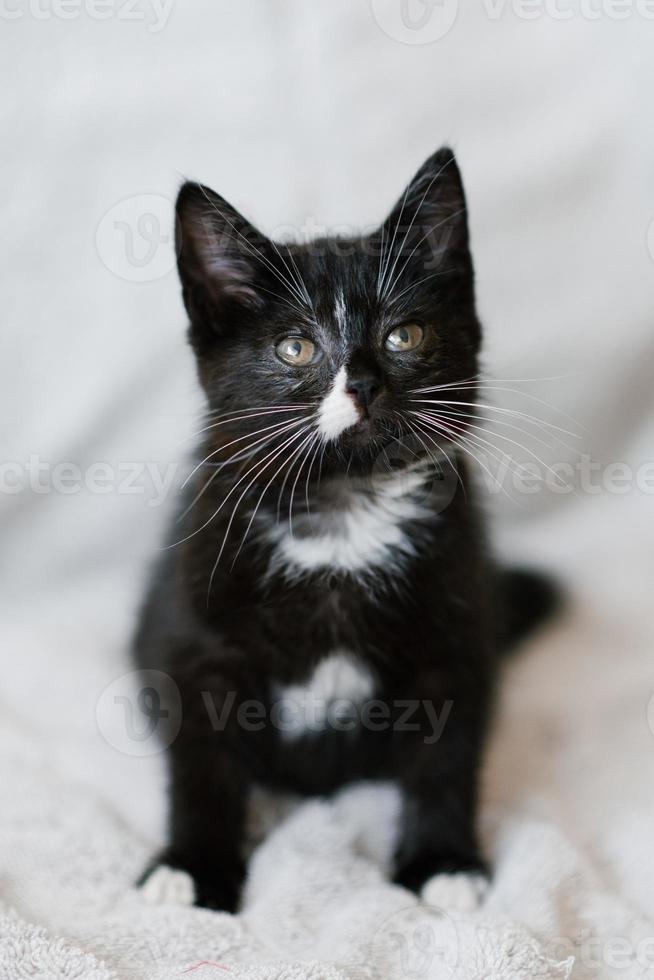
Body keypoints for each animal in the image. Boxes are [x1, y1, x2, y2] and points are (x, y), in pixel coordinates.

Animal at [135, 149, 560, 916]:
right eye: (295, 347)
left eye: (404, 335)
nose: (362, 384)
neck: (343, 511)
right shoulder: (195, 637)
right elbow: (201, 765)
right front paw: (191, 867)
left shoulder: (455, 630)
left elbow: (446, 758)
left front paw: (443, 861)